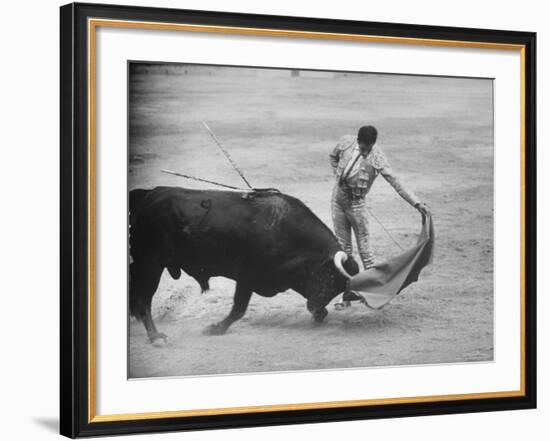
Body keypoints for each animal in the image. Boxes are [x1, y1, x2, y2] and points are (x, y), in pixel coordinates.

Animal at [131, 184, 360, 342]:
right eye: (330, 276)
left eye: (340, 287)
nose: (315, 306)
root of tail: (149, 195)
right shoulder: (247, 276)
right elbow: (239, 309)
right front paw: (215, 329)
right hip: (151, 263)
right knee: (144, 300)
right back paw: (155, 336)